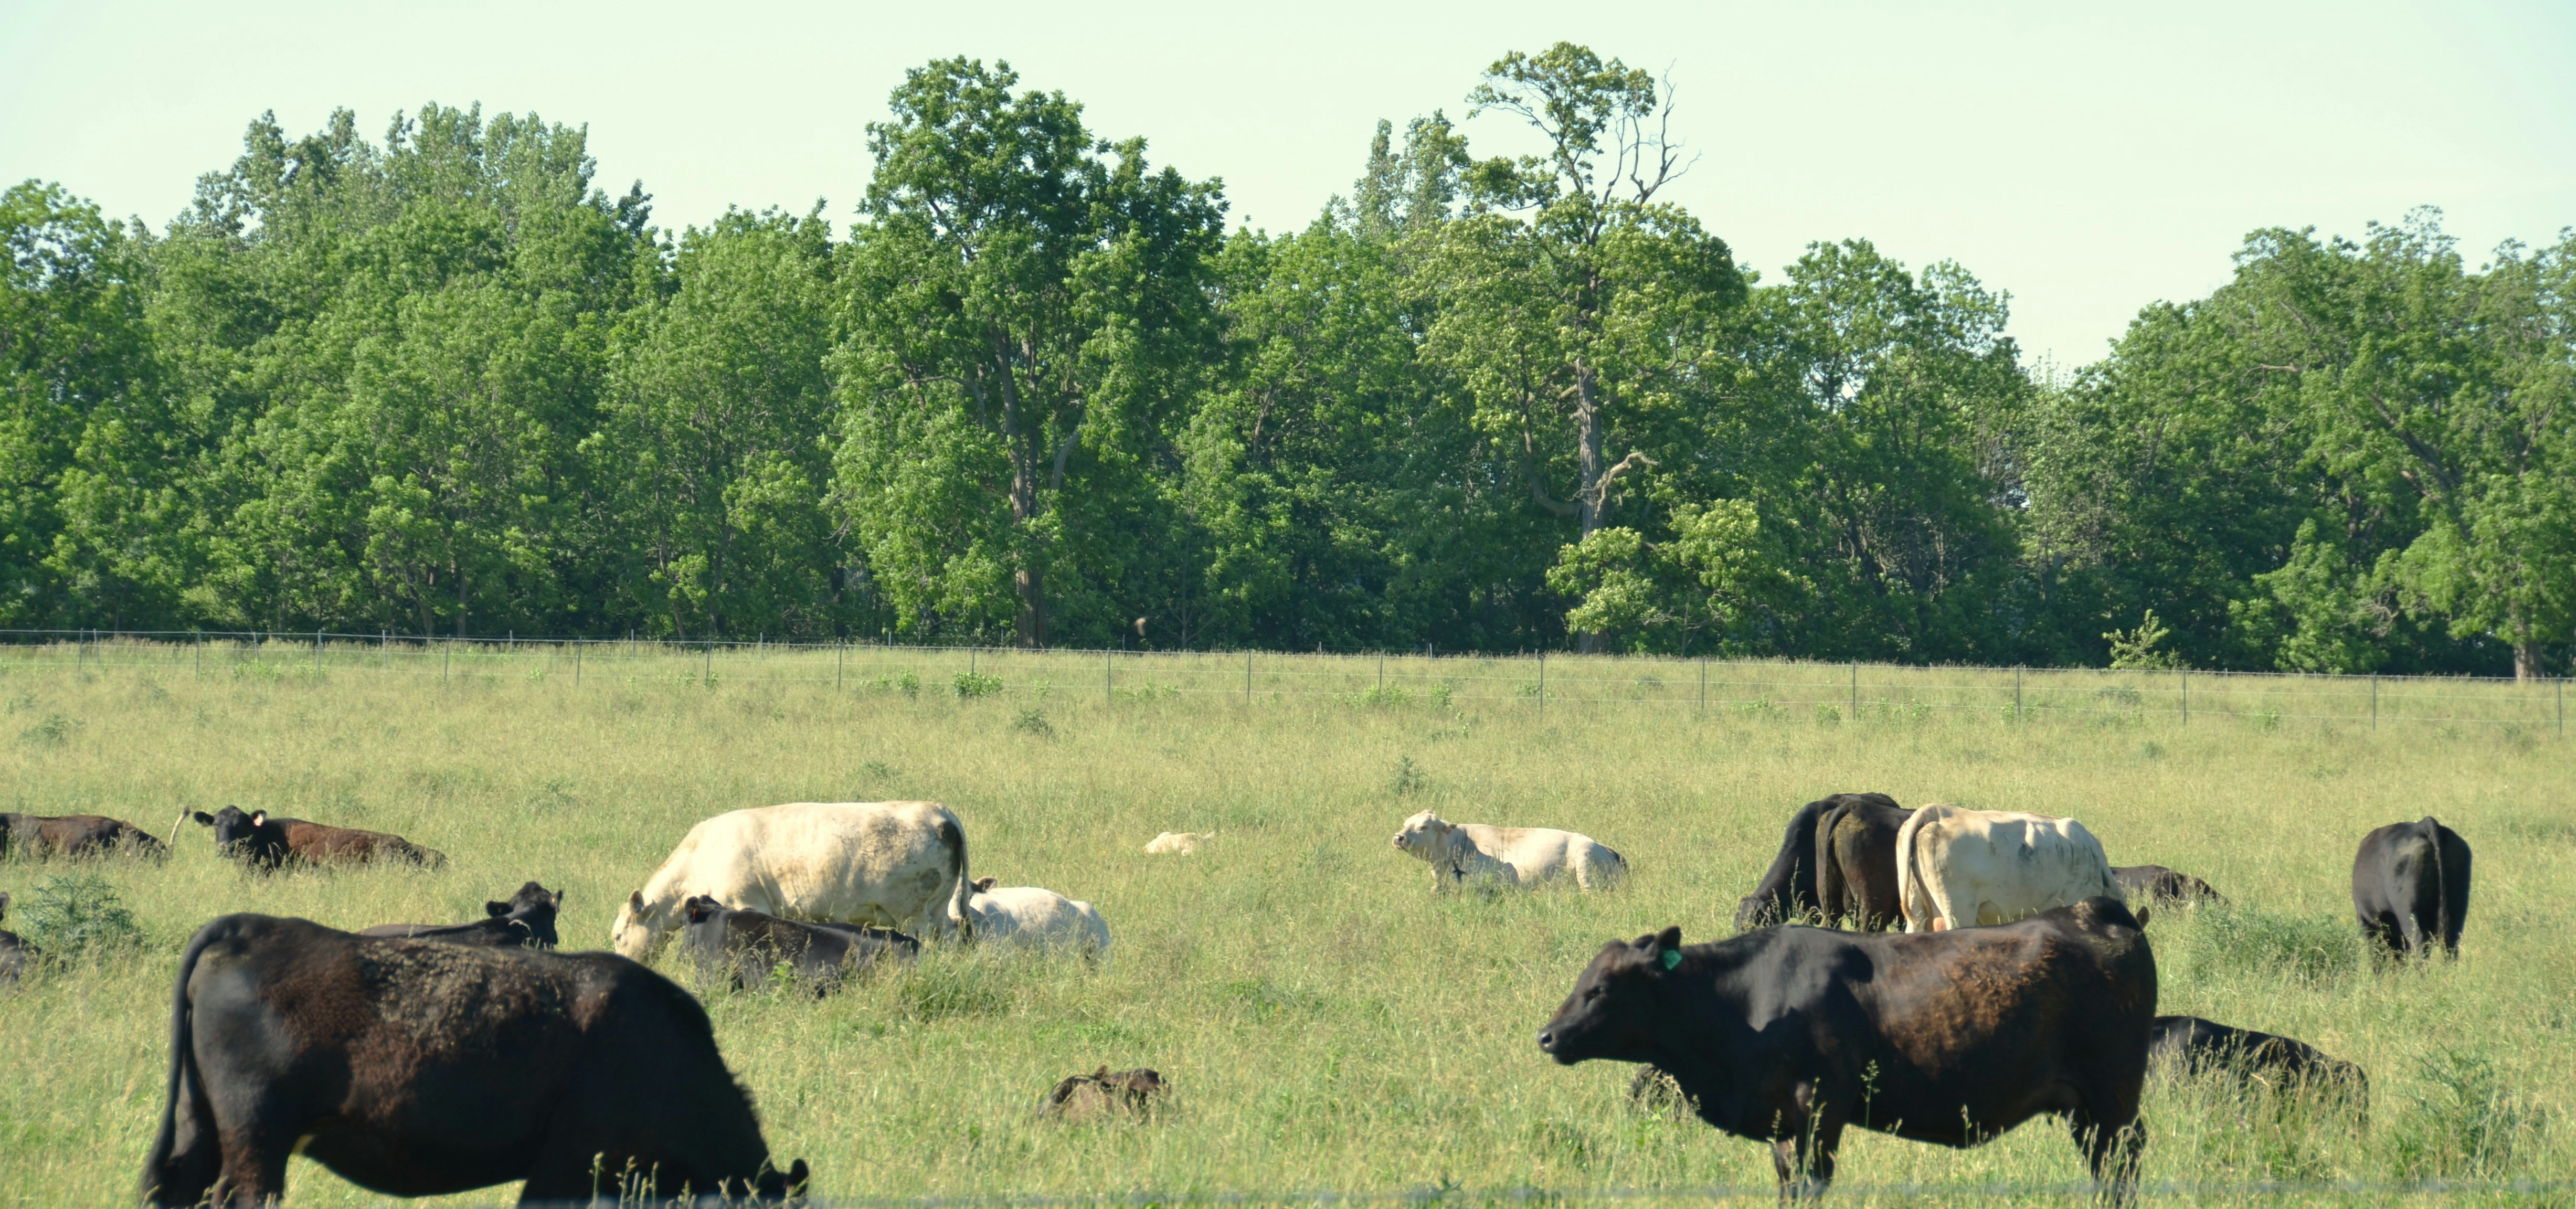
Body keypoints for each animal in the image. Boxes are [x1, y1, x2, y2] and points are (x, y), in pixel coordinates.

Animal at [612, 801, 972, 960]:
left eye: (618, 936)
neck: (701, 856)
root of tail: (941, 814)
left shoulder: (745, 903)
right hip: (939, 907)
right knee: (951, 936)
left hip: (913, 912)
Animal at [1537, 898, 2155, 1202]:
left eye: (1601, 989)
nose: (1546, 1036)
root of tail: (2091, 911)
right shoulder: (1784, 1125)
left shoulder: (1817, 1111)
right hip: (2084, 1111)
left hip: (2112, 1100)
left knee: (2122, 1165)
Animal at [2352, 817, 2471, 959]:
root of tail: (2423, 825)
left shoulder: (2366, 919)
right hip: (2457, 913)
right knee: (2451, 945)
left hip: (2409, 914)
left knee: (2420, 942)